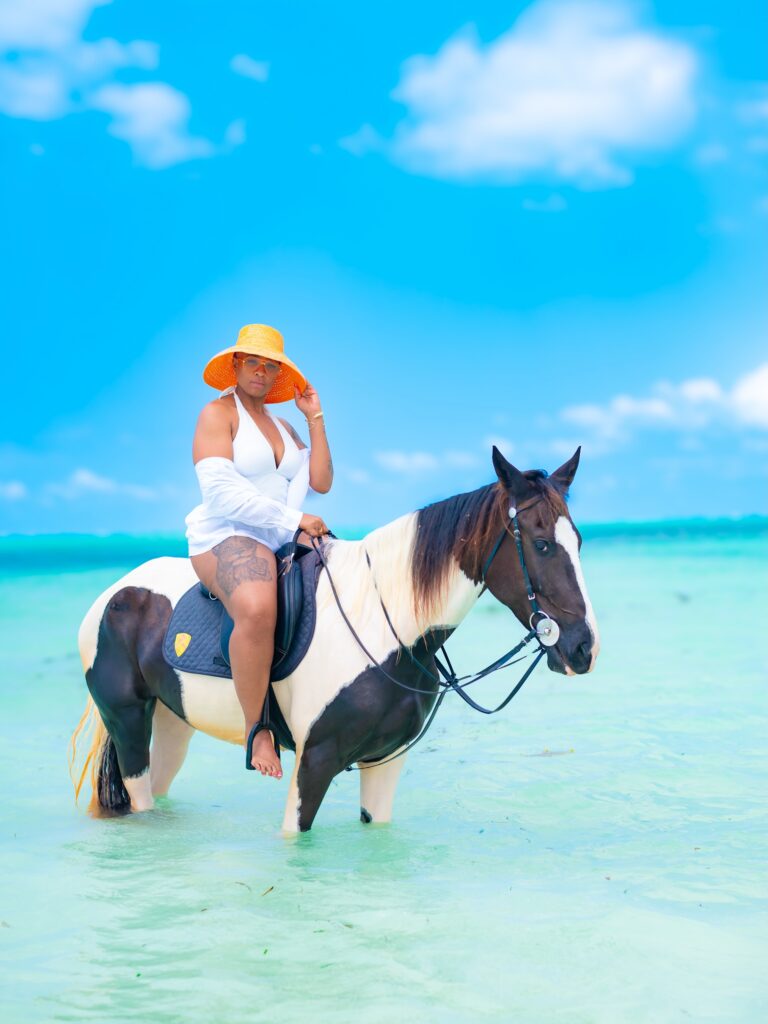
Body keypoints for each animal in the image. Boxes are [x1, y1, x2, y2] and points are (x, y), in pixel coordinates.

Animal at [70, 446, 600, 833]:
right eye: (541, 544)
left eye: (577, 541)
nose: (583, 649)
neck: (386, 627)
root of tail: (115, 593)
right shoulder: (314, 763)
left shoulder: (385, 761)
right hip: (128, 722)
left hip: (173, 721)